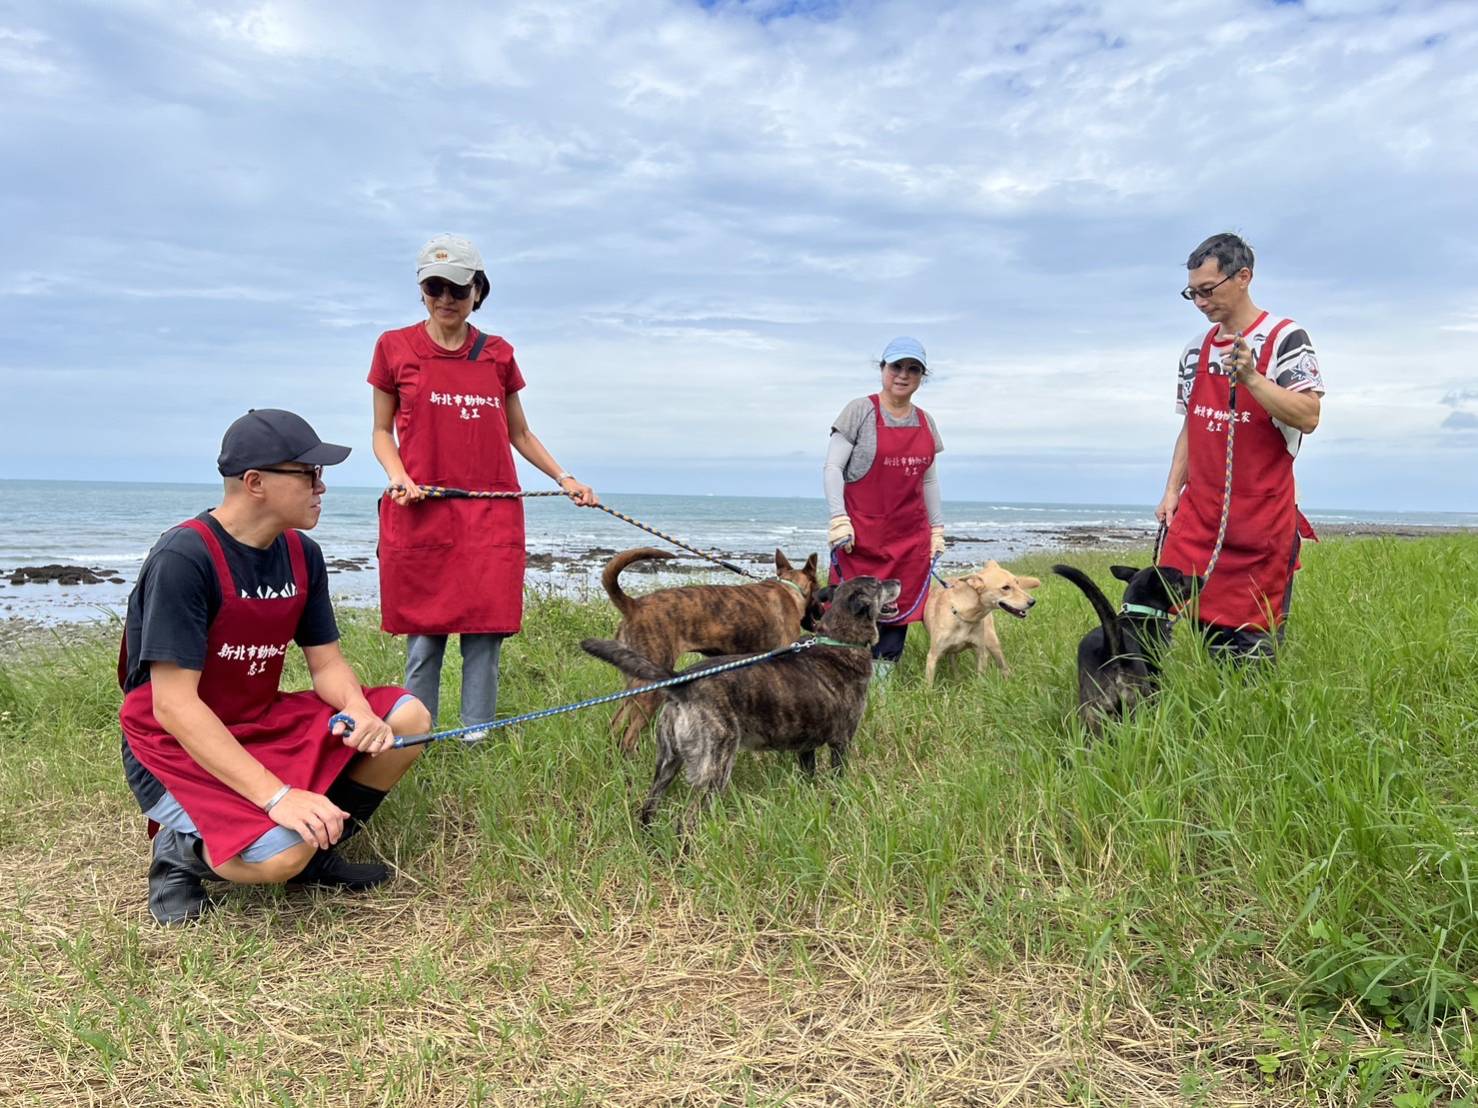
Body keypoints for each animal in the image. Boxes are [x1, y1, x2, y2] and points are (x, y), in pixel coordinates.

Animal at [576, 576, 898, 839]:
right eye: (877, 584)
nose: (896, 581)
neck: (839, 641)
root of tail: (682, 683)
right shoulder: (841, 743)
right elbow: (838, 780)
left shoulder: (806, 748)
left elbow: (809, 777)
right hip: (715, 767)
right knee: (686, 821)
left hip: (666, 763)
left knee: (647, 808)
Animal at [597, 546, 821, 756]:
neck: (790, 589)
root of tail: (634, 605)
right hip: (652, 685)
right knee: (629, 736)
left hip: (635, 684)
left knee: (615, 724)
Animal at [1052, 564, 1200, 738]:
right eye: (1180, 577)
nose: (1200, 578)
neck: (1140, 612)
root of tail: (1110, 651)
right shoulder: (1156, 673)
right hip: (1137, 702)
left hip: (1093, 712)